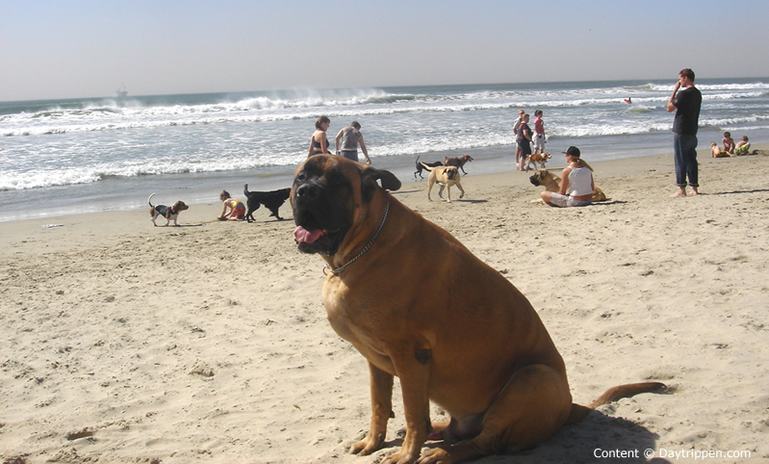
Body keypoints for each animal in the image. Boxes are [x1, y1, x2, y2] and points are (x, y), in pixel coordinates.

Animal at [292, 156, 664, 464]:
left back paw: (442, 453)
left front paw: (406, 454)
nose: (304, 192)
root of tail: (569, 406)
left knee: (486, 442)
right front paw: (374, 441)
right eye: (300, 178)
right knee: (457, 429)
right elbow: (380, 405)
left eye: (336, 181)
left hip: (532, 378)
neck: (360, 247)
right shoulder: (376, 361)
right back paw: (439, 431)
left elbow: (411, 412)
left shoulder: (410, 356)